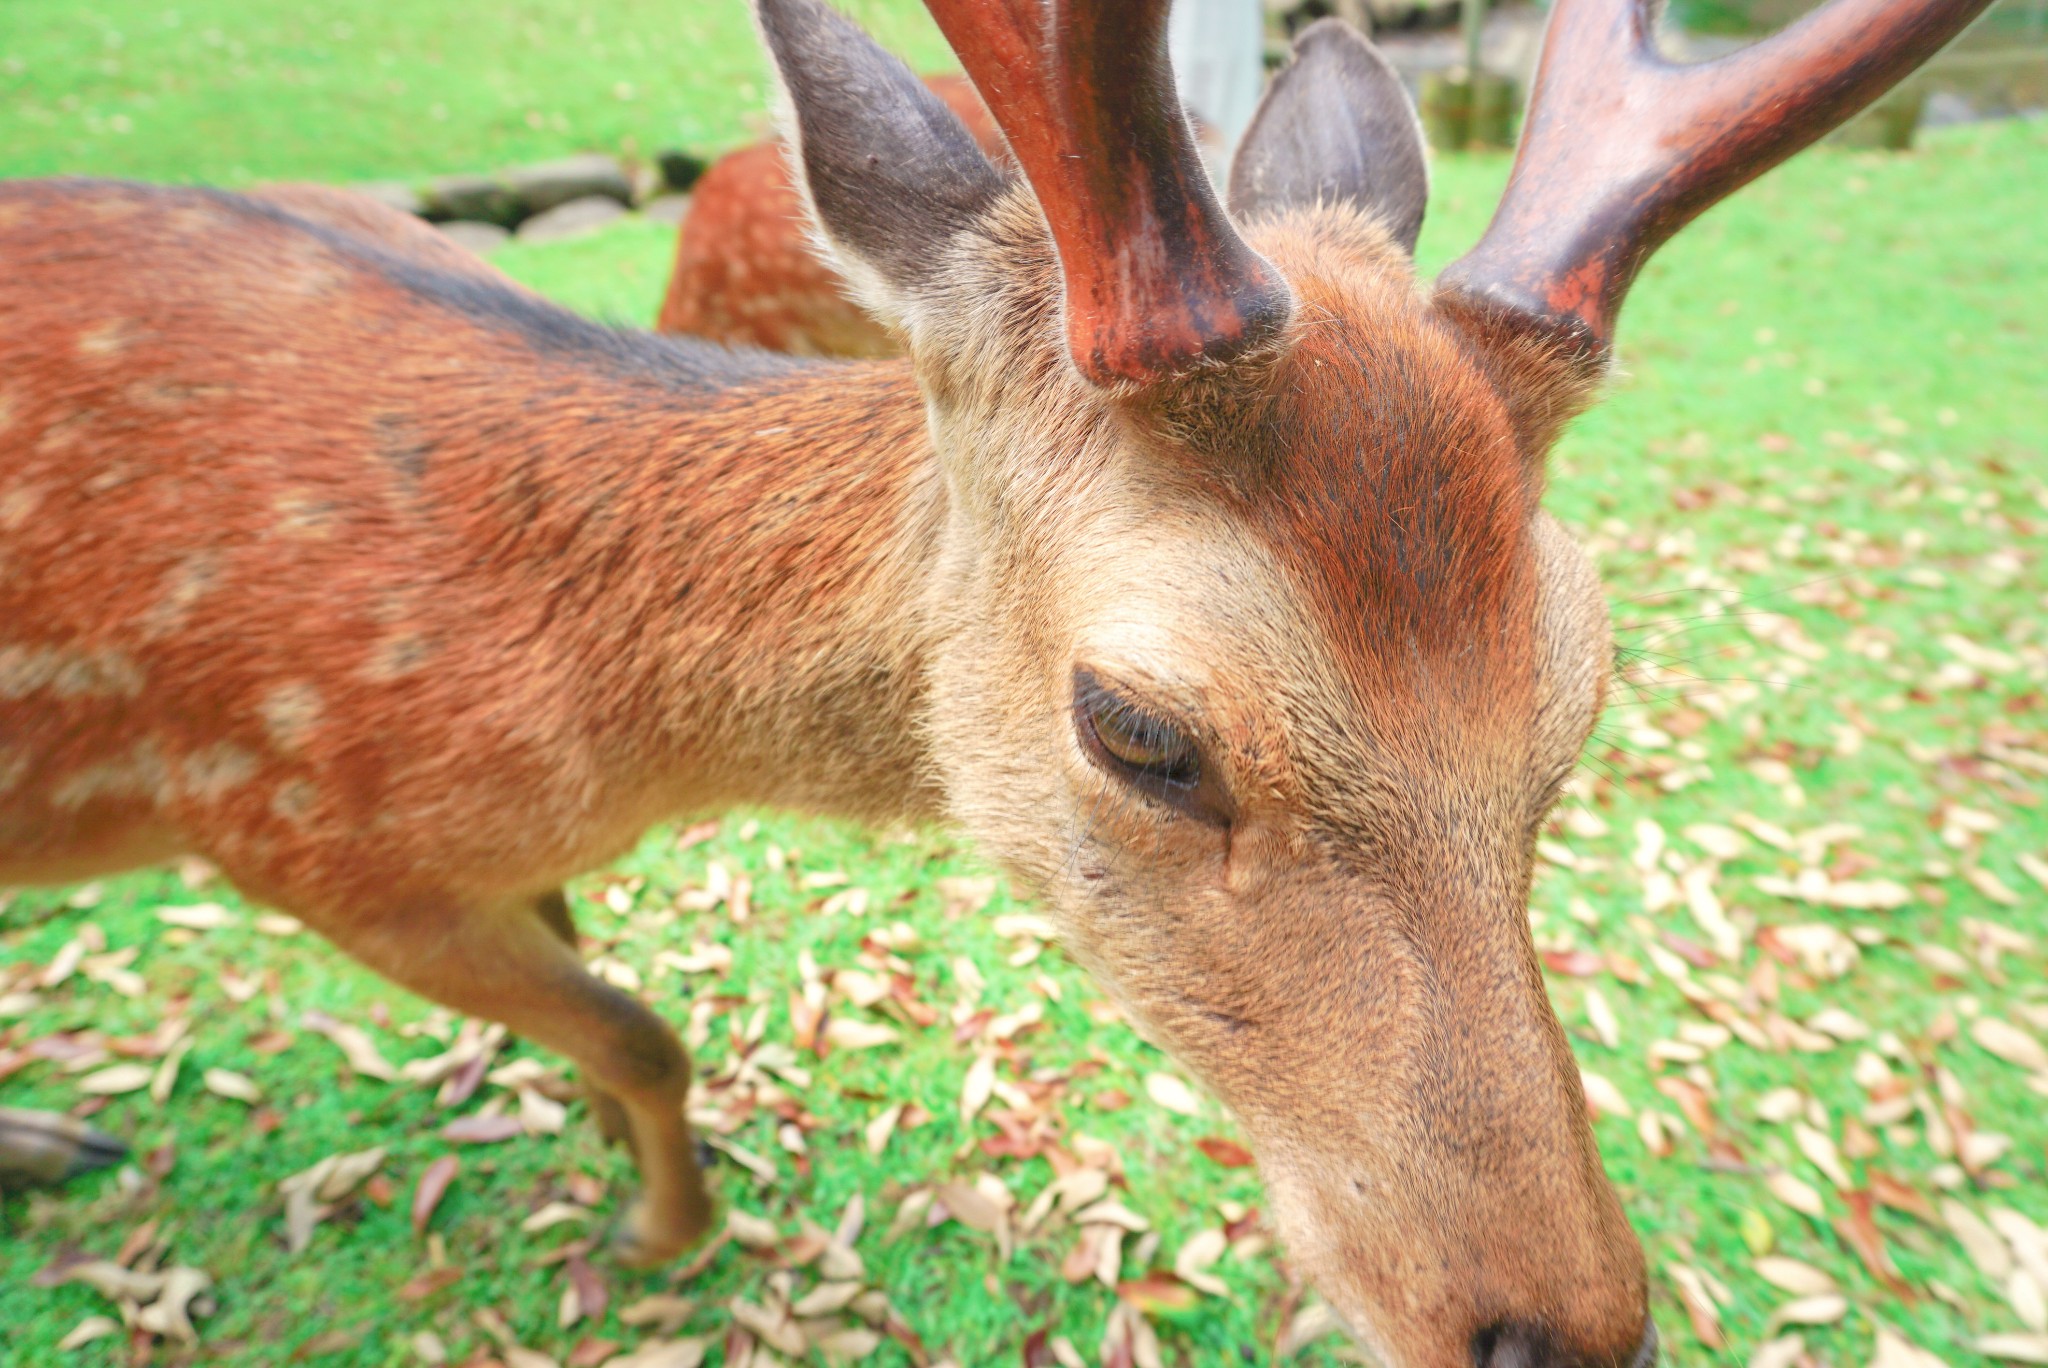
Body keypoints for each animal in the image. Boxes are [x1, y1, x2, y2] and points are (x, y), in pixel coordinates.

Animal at [0, 0, 1982, 1359]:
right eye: (1140, 727)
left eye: (1578, 691)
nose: (1555, 1330)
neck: (585, 730)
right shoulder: (295, 823)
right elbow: (643, 1021)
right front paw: (659, 1234)